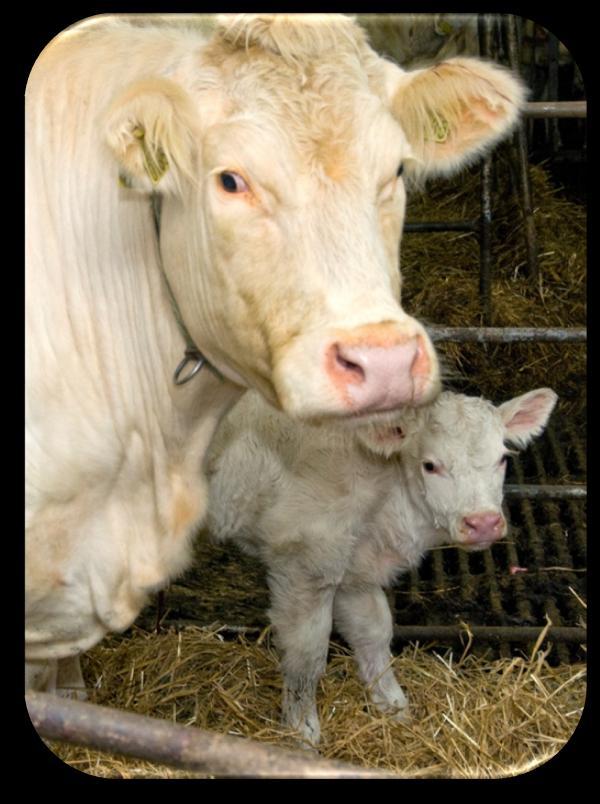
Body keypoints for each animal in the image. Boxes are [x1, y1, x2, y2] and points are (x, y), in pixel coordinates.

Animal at [209, 386, 560, 744]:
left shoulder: (355, 568)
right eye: (430, 465)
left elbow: (374, 631)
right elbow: (306, 655)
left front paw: (393, 706)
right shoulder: (304, 562)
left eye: (502, 459)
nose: (483, 523)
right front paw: (302, 731)